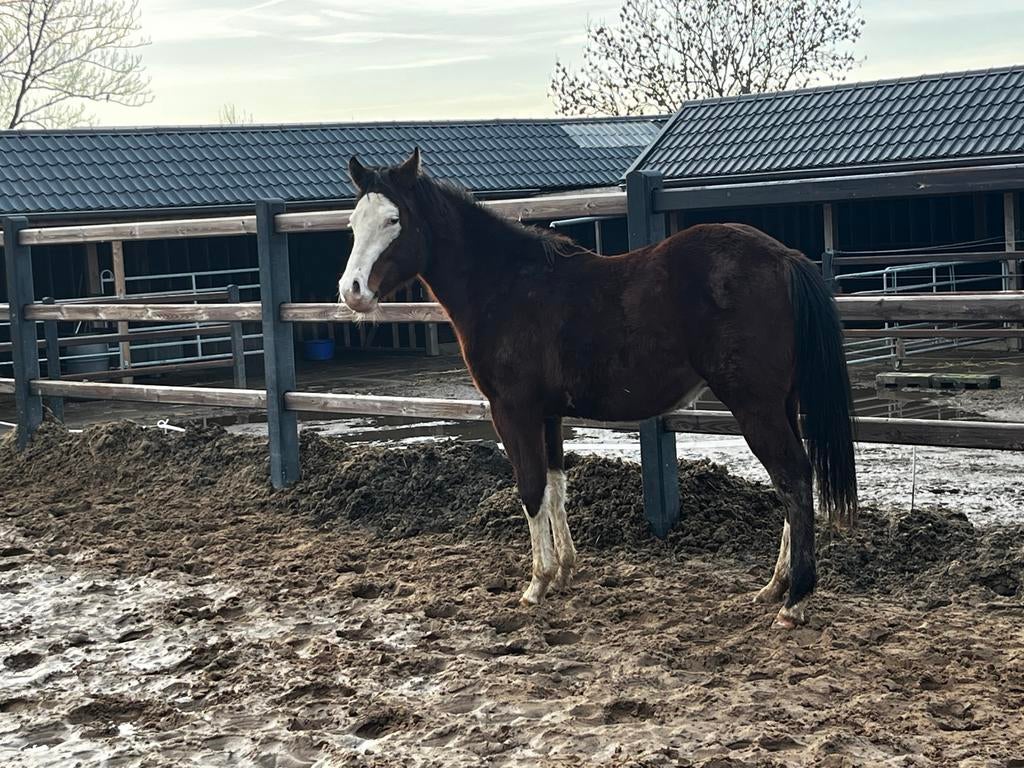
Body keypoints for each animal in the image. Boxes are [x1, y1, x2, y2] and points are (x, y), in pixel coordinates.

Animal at [338, 148, 857, 629]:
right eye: (352, 224)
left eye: (394, 220)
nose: (351, 291)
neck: (508, 286)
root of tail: (785, 258)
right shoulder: (548, 414)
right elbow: (555, 485)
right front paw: (564, 572)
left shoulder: (512, 411)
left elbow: (530, 489)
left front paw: (536, 585)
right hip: (781, 404)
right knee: (794, 482)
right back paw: (775, 587)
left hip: (755, 406)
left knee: (793, 479)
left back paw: (794, 602)